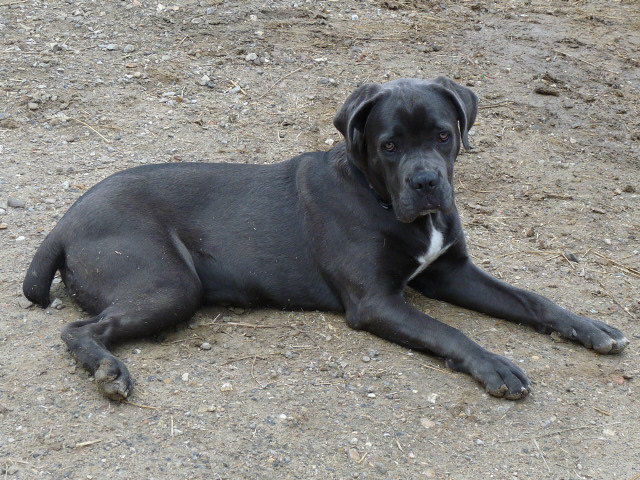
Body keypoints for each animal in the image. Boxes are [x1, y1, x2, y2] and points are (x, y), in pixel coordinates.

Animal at [23, 77, 628, 400]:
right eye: (389, 145)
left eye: (443, 135)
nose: (426, 183)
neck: (381, 199)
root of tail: (64, 222)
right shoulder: (377, 302)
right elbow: (448, 332)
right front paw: (494, 365)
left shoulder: (451, 272)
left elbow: (531, 299)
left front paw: (589, 326)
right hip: (168, 284)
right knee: (79, 329)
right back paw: (107, 371)